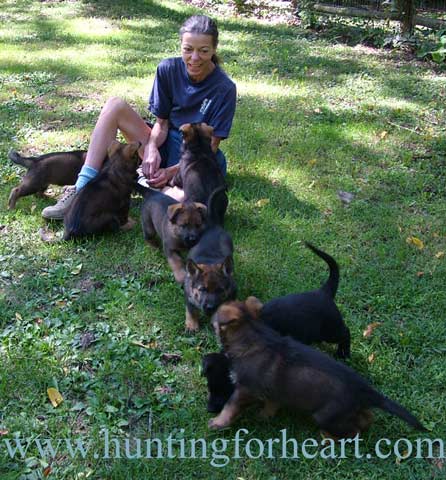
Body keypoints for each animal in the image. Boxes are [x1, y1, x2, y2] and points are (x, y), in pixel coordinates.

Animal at [211, 296, 426, 438]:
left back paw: (329, 437)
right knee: (367, 417)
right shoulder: (272, 391)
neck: (252, 335)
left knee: (354, 430)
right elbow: (271, 404)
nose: (209, 309)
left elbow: (230, 406)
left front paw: (217, 423)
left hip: (324, 415)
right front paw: (265, 416)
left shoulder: (244, 388)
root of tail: (365, 391)